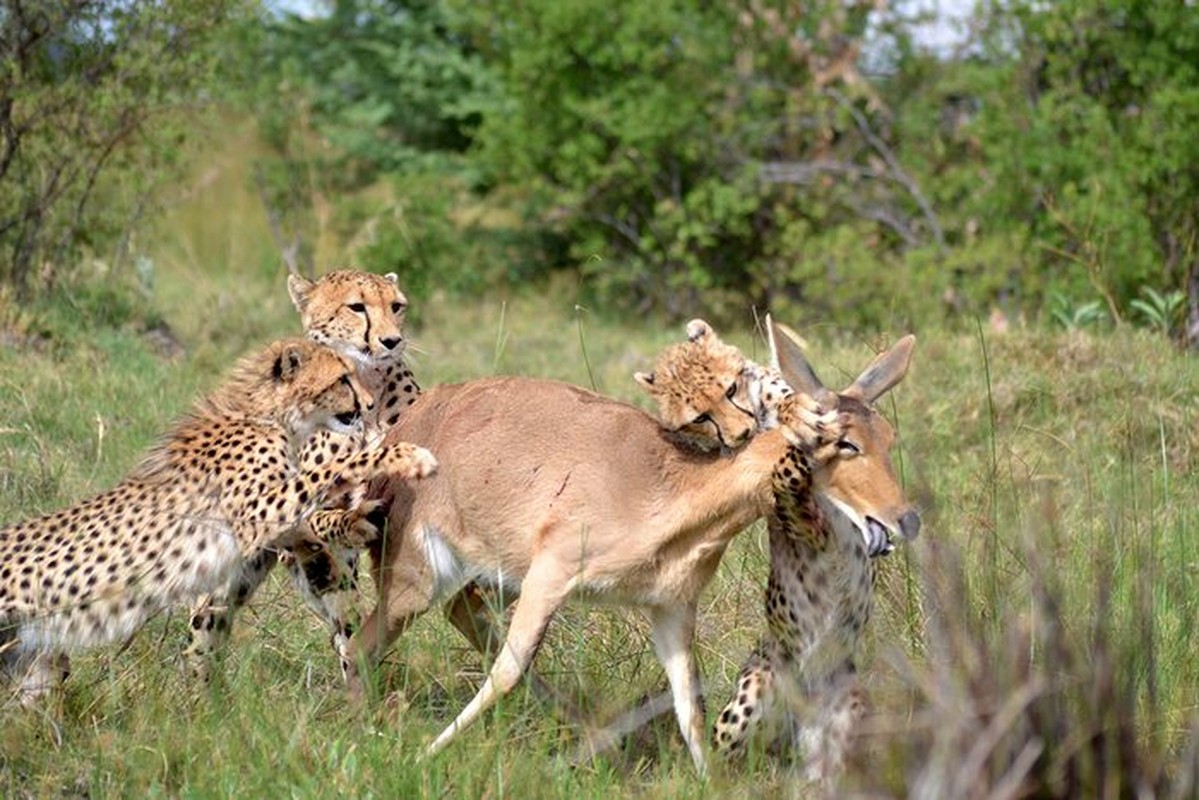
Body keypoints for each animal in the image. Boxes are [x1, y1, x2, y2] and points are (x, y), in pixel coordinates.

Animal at [1, 338, 436, 705]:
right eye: (343, 378)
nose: (368, 404)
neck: (270, 415)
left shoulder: (271, 527)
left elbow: (314, 519)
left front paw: (357, 520)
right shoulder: (257, 512)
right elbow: (331, 468)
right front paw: (405, 455)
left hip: (35, 663)